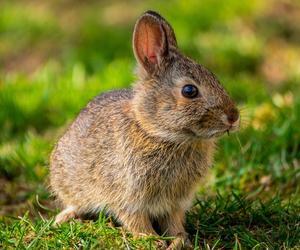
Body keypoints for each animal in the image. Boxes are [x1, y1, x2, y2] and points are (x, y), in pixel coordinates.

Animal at [50, 10, 240, 250]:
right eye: (189, 91)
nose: (234, 117)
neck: (158, 134)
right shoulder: (127, 196)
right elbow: (135, 220)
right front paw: (151, 240)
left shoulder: (175, 202)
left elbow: (174, 221)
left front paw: (180, 240)